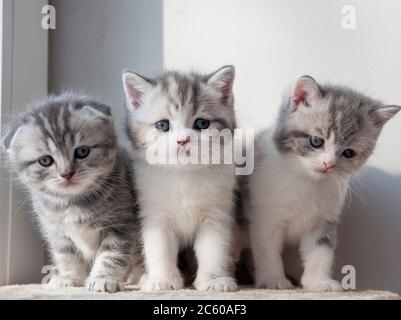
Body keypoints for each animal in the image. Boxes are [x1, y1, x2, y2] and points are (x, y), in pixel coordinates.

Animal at [1, 94, 141, 292]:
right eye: (45, 161)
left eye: (82, 151)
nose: (66, 173)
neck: (73, 202)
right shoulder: (57, 231)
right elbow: (67, 256)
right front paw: (69, 278)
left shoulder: (121, 223)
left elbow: (111, 254)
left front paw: (103, 278)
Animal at [245, 76, 398, 292]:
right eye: (316, 141)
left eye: (349, 152)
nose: (329, 164)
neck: (308, 181)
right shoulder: (265, 216)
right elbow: (268, 250)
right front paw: (274, 280)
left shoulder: (324, 220)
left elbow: (321, 253)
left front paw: (319, 282)